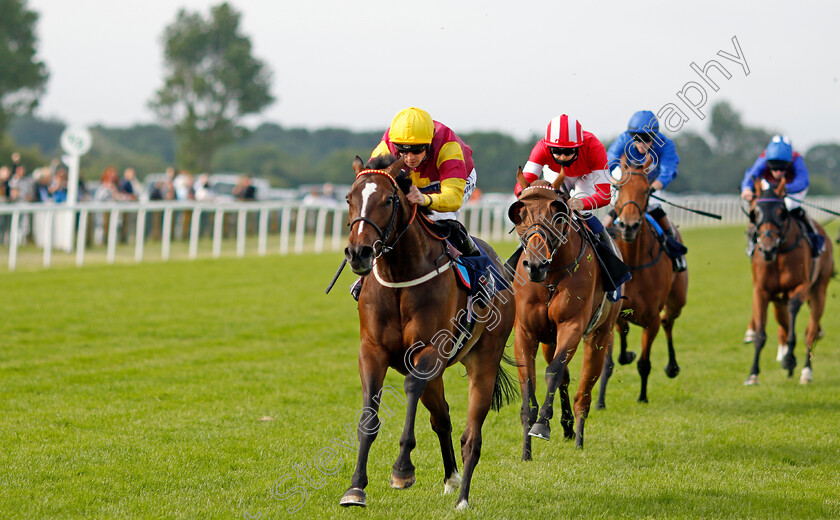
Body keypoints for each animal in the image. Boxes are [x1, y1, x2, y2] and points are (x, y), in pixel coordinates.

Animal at [342, 156, 520, 510]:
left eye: (389, 200)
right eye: (349, 199)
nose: (358, 252)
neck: (400, 276)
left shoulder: (427, 350)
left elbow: (410, 388)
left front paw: (402, 470)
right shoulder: (371, 350)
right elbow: (369, 416)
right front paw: (355, 487)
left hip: (484, 359)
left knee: (472, 433)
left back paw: (463, 497)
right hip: (437, 373)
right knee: (442, 416)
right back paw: (451, 478)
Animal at [508, 168, 620, 460]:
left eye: (557, 214)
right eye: (519, 213)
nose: (535, 265)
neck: (550, 277)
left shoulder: (572, 326)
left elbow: (553, 372)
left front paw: (541, 426)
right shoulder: (526, 332)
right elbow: (531, 380)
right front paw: (526, 451)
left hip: (600, 335)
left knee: (584, 391)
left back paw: (579, 436)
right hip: (549, 339)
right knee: (567, 380)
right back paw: (568, 426)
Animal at [592, 152, 684, 408]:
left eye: (646, 190)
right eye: (619, 188)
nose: (629, 226)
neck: (634, 261)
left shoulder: (651, 319)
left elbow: (644, 362)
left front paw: (642, 396)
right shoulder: (616, 312)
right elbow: (615, 356)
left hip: (677, 300)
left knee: (668, 321)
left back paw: (672, 367)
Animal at [744, 179, 832, 386]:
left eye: (781, 212)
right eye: (754, 212)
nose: (767, 248)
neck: (779, 253)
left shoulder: (800, 287)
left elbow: (794, 316)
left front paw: (790, 359)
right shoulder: (761, 291)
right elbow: (761, 334)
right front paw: (753, 374)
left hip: (818, 292)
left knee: (811, 331)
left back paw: (806, 371)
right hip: (778, 300)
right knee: (784, 324)